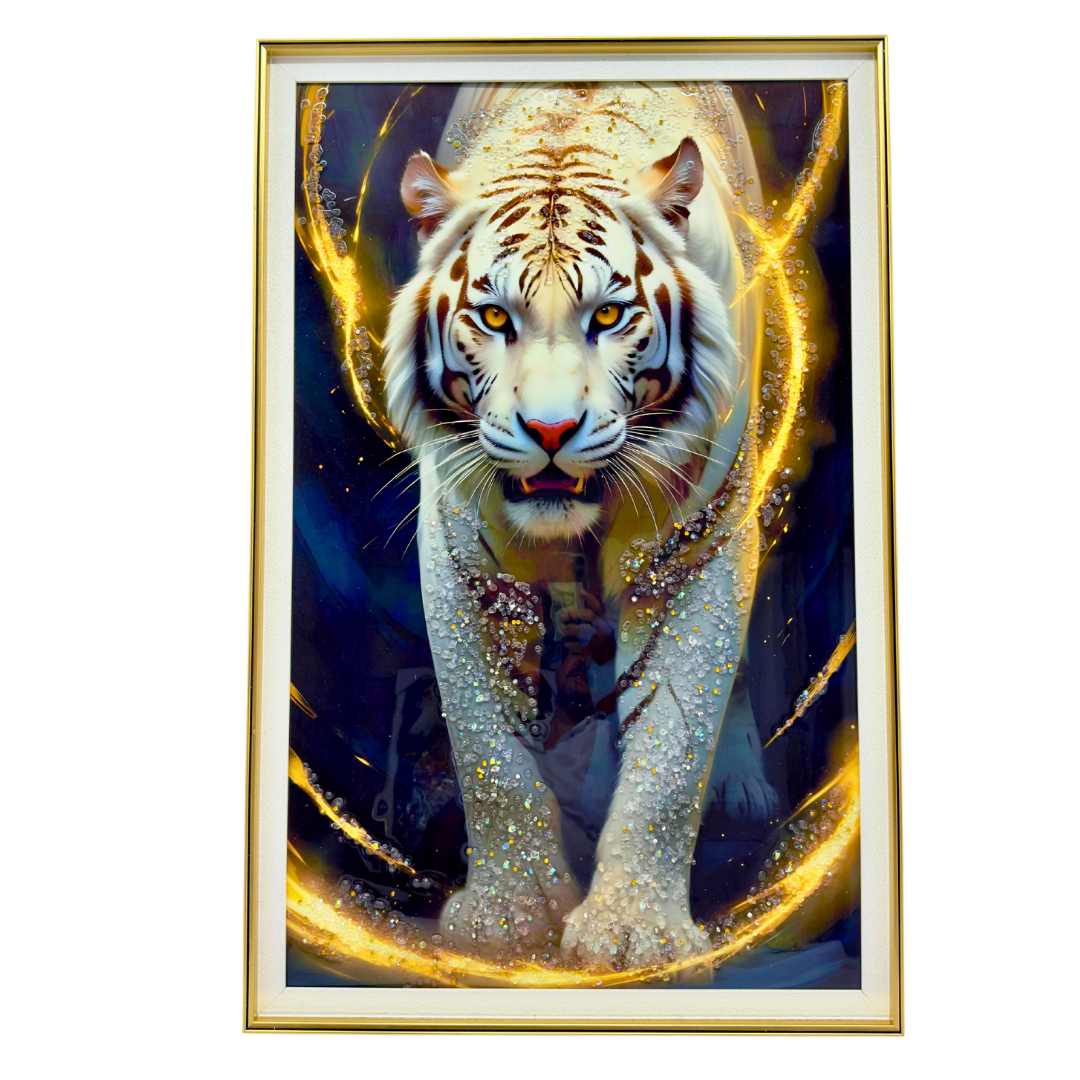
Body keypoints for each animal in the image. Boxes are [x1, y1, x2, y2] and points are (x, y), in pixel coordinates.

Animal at [382, 82, 777, 969]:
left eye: (609, 316)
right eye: (494, 318)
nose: (552, 429)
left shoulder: (698, 545)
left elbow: (674, 739)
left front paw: (635, 929)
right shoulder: (461, 549)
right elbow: (486, 748)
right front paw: (509, 914)